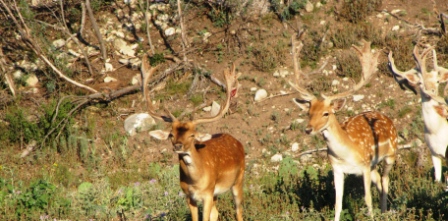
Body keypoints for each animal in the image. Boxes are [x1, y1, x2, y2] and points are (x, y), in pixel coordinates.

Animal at [142, 57, 245, 221]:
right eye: (171, 134)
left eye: (192, 135)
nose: (178, 146)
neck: (195, 181)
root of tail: (237, 141)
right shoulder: (189, 196)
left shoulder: (208, 193)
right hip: (217, 193)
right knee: (216, 213)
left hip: (238, 179)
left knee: (239, 210)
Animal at [290, 34, 400, 221]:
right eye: (308, 112)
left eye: (326, 113)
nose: (308, 129)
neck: (346, 153)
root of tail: (387, 118)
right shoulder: (337, 168)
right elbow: (338, 203)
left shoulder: (364, 165)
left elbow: (367, 199)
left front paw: (371, 216)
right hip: (374, 165)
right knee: (379, 179)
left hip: (390, 153)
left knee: (385, 180)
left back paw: (385, 212)